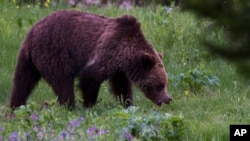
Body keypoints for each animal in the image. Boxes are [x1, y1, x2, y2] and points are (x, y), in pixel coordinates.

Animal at [8, 10, 171, 109]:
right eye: (160, 85)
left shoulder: (119, 69)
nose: (168, 98)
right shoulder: (108, 51)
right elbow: (90, 77)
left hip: (28, 60)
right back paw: (70, 106)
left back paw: (15, 106)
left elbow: (121, 86)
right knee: (63, 82)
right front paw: (89, 105)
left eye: (165, 83)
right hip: (54, 52)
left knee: (22, 82)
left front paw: (128, 104)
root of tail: (32, 32)